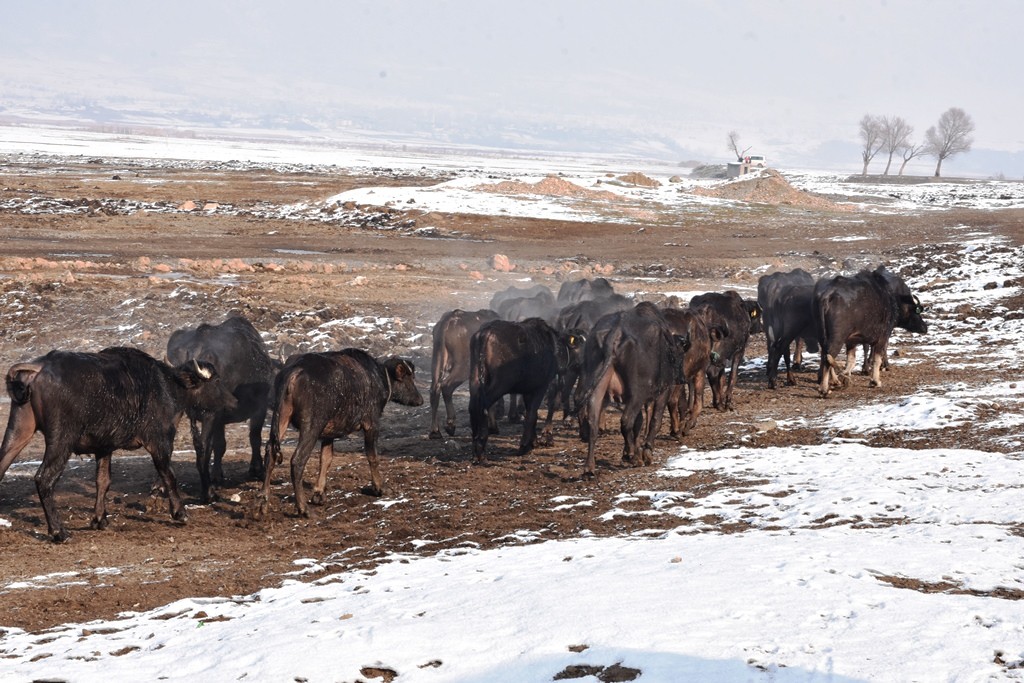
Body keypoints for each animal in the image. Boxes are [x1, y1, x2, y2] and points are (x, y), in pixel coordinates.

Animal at [0, 350, 234, 540]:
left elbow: (103, 481)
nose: (233, 402)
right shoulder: (159, 441)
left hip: (20, 428)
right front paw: (180, 513)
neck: (167, 385)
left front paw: (99, 519)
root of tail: (40, 366)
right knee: (45, 479)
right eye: (216, 380)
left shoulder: (104, 448)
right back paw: (59, 532)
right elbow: (169, 475)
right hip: (61, 440)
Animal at [165, 317, 276, 501]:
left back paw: (160, 485)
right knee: (203, 448)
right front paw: (256, 469)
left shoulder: (219, 419)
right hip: (211, 413)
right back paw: (208, 491)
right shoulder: (257, 409)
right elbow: (253, 438)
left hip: (179, 409)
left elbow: (220, 445)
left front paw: (218, 475)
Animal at [258, 348, 421, 518]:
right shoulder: (372, 424)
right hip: (312, 426)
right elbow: (372, 456)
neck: (378, 378)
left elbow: (326, 459)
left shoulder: (328, 434)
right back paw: (304, 509)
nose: (420, 400)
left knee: (270, 453)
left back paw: (264, 503)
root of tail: (295, 370)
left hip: (281, 418)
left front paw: (319, 494)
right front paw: (380, 488)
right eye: (409, 378)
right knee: (297, 460)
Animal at [428, 309, 499, 438]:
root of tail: (447, 322)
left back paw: (435, 431)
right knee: (446, 386)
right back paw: (450, 424)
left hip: (437, 357)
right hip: (464, 365)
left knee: (434, 389)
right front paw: (492, 427)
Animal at [815, 266, 929, 397]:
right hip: (837, 338)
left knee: (825, 356)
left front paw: (846, 376)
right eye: (916, 311)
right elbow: (877, 359)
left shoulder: (851, 341)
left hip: (822, 336)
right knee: (829, 356)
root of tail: (827, 296)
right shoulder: (882, 337)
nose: (925, 327)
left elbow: (851, 360)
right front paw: (875, 381)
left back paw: (835, 381)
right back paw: (824, 389)